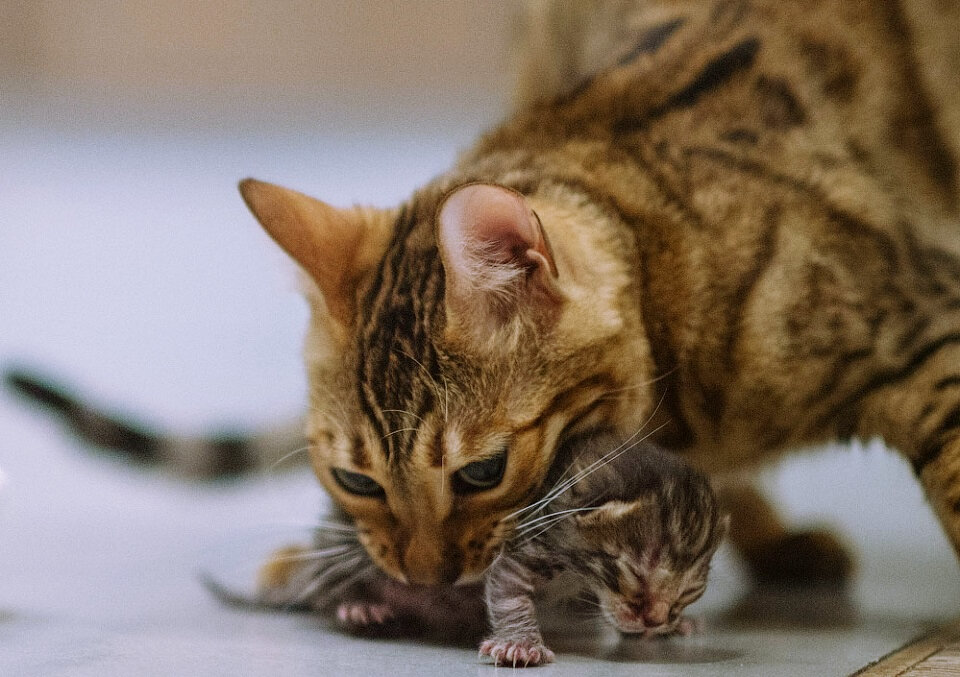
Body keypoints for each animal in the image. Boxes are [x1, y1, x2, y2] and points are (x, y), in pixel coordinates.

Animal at [480, 434, 728, 664]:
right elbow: (511, 591)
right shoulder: (540, 533)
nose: (655, 621)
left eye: (690, 591)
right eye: (635, 575)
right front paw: (519, 643)